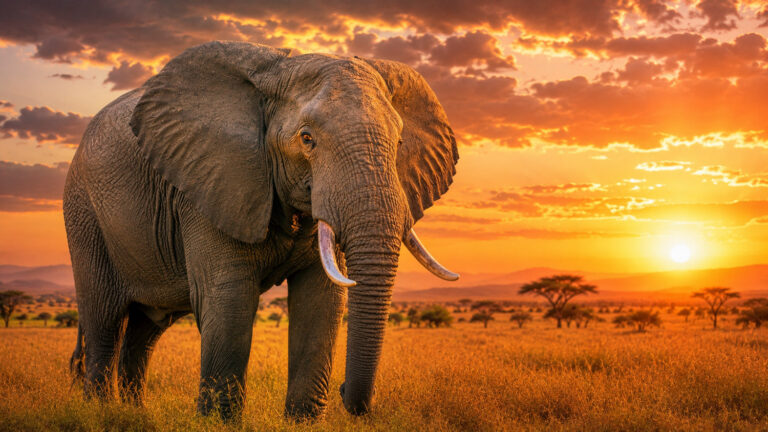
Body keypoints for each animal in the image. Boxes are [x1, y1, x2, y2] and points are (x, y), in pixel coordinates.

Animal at [63, 41, 459, 421]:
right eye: (306, 139)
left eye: (399, 144)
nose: (345, 390)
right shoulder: (211, 181)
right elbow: (229, 299)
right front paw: (217, 422)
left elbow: (322, 300)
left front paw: (302, 422)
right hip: (84, 214)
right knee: (105, 321)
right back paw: (101, 411)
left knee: (146, 331)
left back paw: (134, 413)